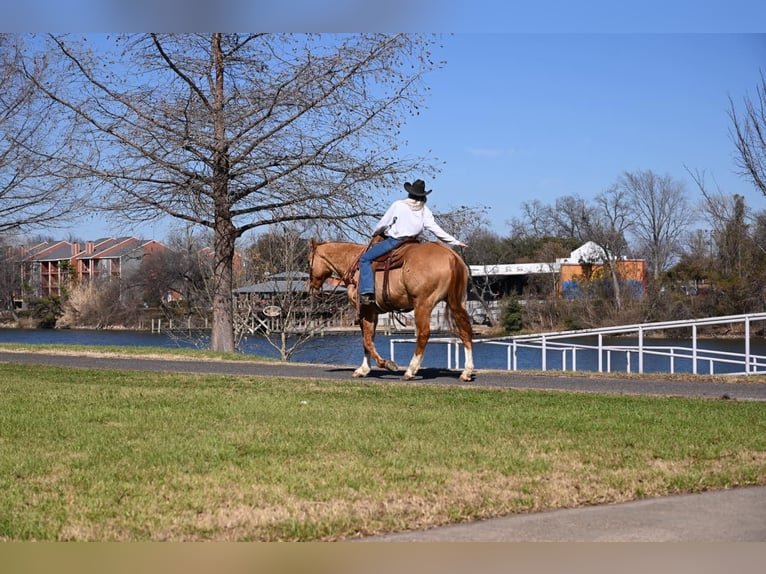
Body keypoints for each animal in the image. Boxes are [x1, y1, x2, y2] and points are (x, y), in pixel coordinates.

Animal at [306, 238, 474, 382]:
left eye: (308, 261)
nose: (309, 287)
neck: (354, 265)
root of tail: (451, 257)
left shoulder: (364, 311)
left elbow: (366, 340)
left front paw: (385, 364)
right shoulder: (372, 313)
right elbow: (369, 339)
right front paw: (364, 369)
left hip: (423, 304)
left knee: (423, 334)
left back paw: (411, 370)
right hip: (456, 302)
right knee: (465, 331)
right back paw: (466, 372)